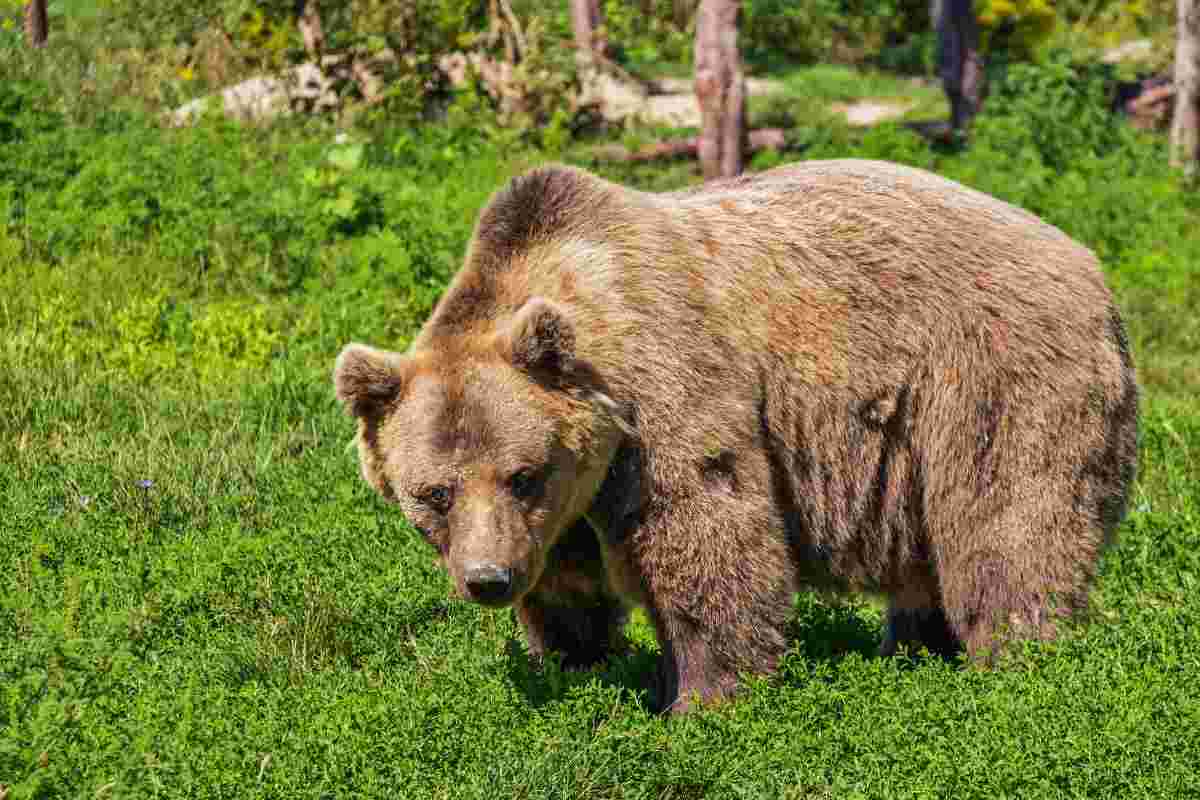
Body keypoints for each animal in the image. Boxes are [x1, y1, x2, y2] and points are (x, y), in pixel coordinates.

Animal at [333, 159, 1138, 714]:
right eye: (433, 493)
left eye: (522, 473)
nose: (488, 580)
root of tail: (1091, 266)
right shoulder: (562, 505)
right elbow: (567, 581)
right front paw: (579, 664)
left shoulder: (661, 400)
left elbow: (707, 535)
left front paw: (701, 700)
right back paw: (913, 650)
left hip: (990, 378)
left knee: (1007, 524)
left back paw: (1017, 660)